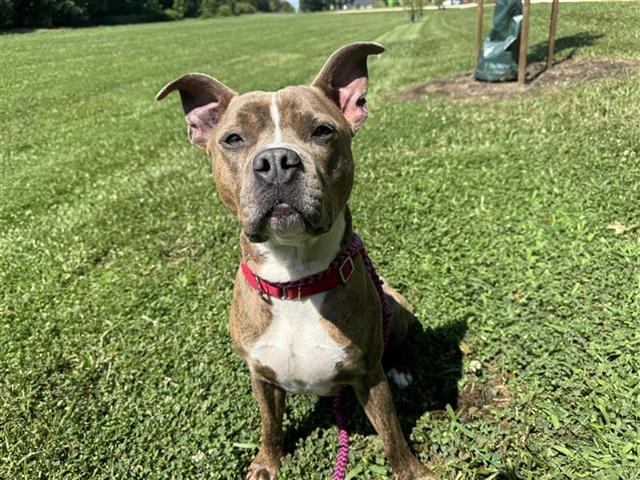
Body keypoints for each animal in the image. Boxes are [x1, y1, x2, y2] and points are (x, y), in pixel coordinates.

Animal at [158, 42, 436, 480]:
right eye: (233, 139)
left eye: (322, 131)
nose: (275, 161)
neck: (295, 281)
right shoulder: (261, 376)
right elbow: (270, 426)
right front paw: (266, 463)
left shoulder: (369, 377)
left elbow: (391, 432)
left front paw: (412, 471)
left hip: (396, 304)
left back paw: (402, 368)